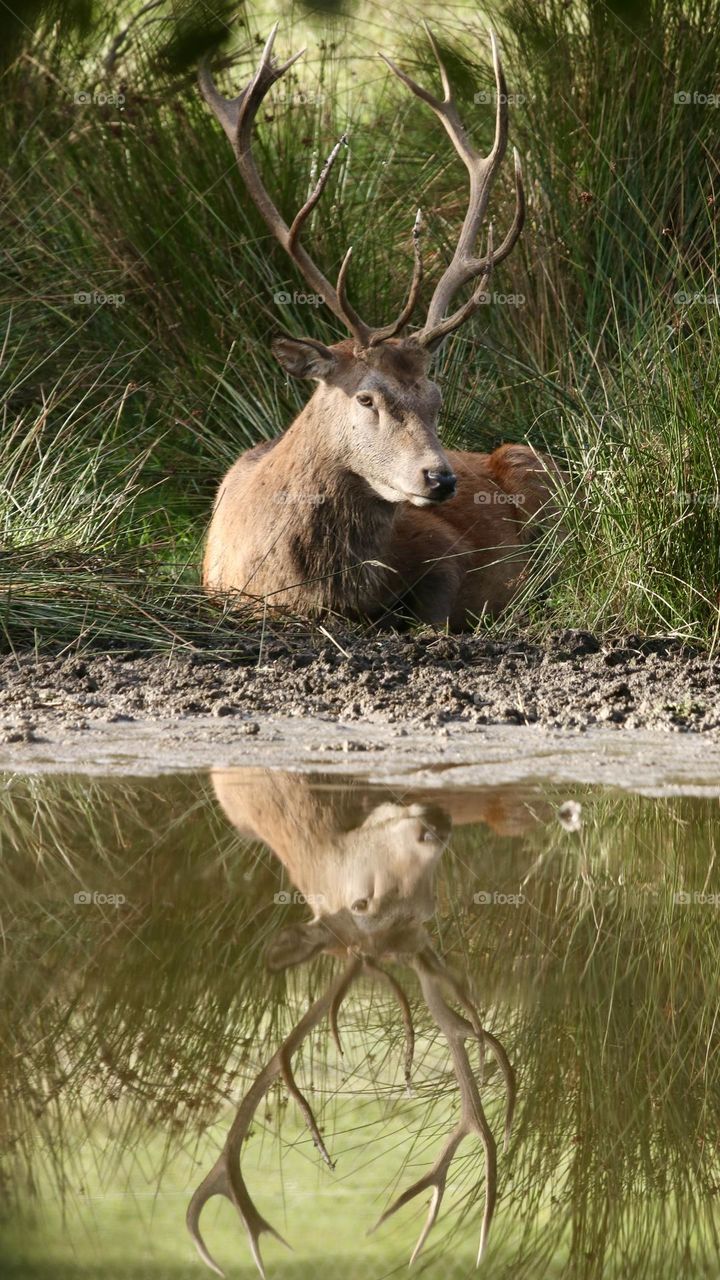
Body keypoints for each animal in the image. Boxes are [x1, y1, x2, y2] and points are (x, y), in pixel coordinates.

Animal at [198, 24, 561, 630]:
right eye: (367, 398)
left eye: (437, 397)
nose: (441, 479)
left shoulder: (445, 551)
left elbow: (437, 610)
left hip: (531, 461)